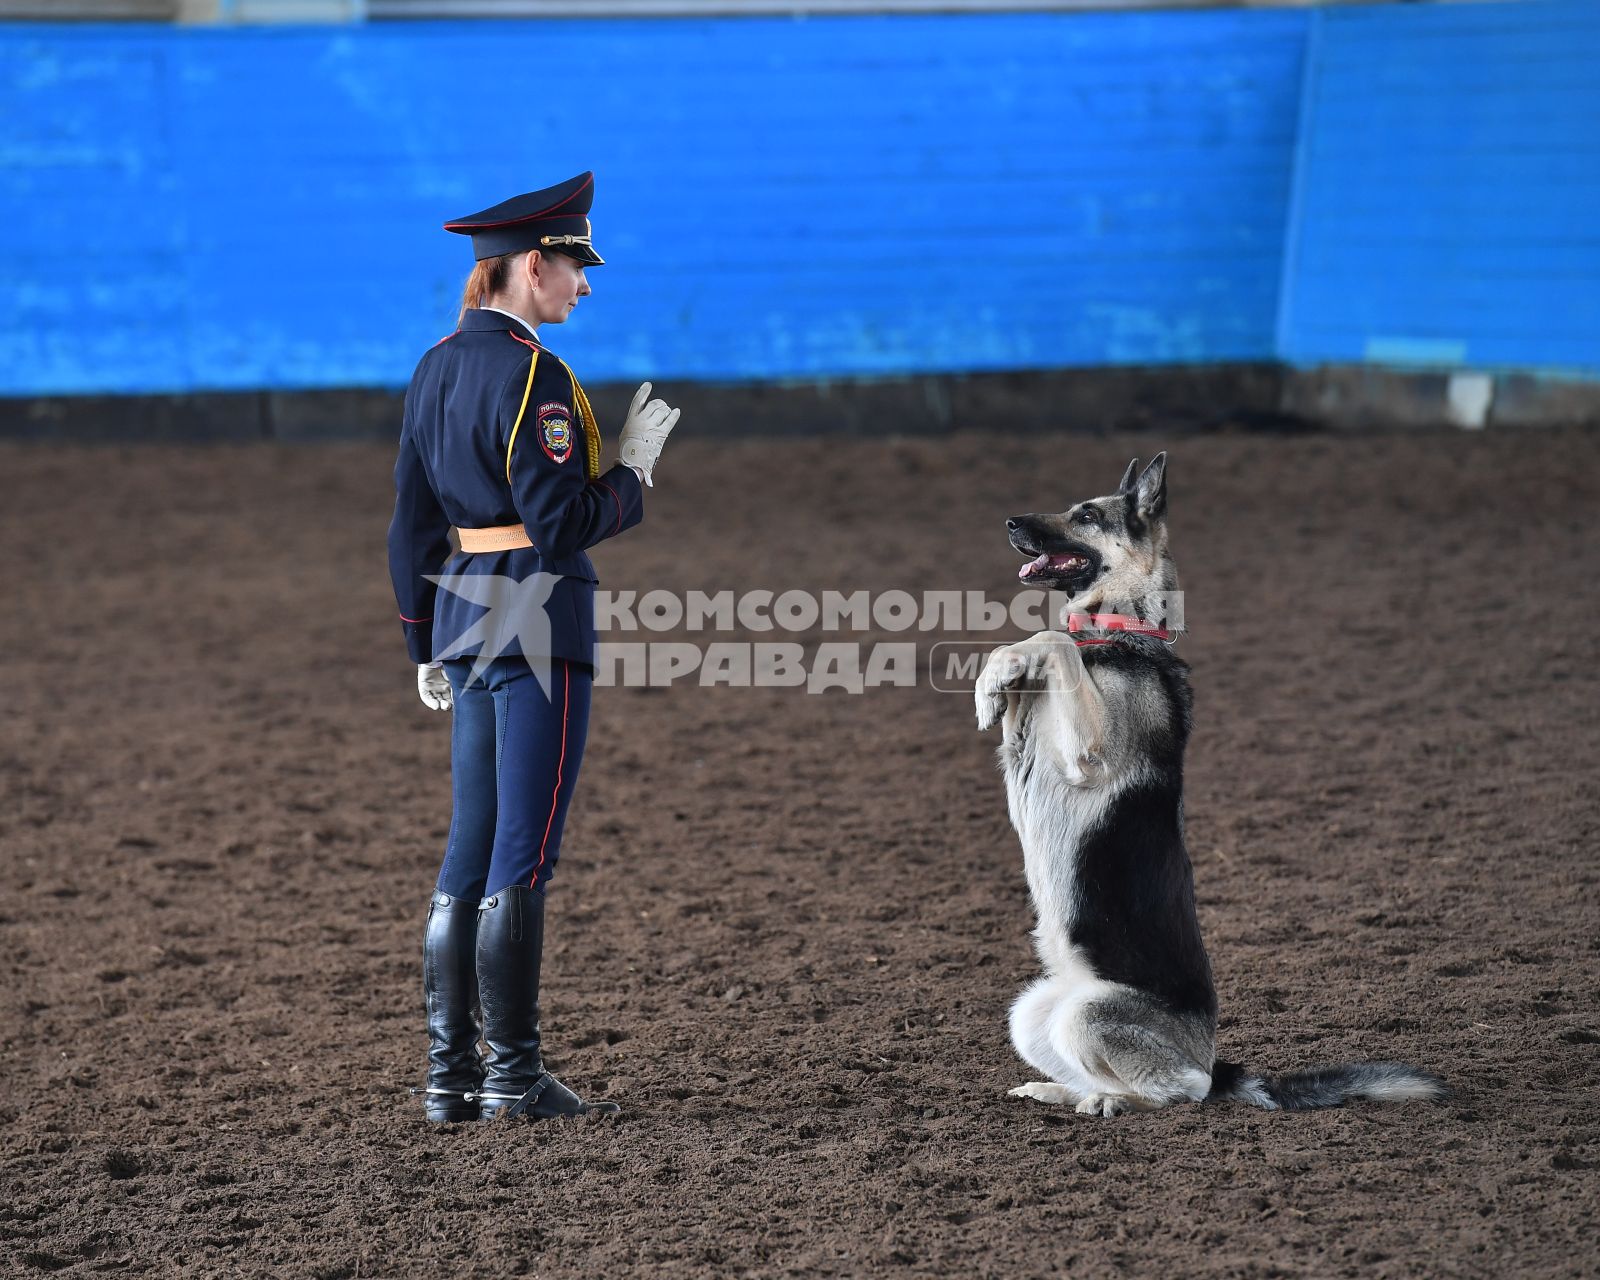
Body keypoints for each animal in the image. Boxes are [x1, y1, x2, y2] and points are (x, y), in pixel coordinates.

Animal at [966, 454, 1446, 1113]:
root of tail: (1216, 1065)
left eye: (1086, 515)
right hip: (1033, 1010)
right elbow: (1034, 657)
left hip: (1089, 1018)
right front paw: (993, 682)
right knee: (1119, 1077)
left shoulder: (1088, 754)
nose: (1011, 521)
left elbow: (1055, 639)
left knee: (1182, 1093)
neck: (1121, 627)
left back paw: (1117, 1102)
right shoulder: (1020, 750)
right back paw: (1063, 1092)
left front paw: (1013, 665)